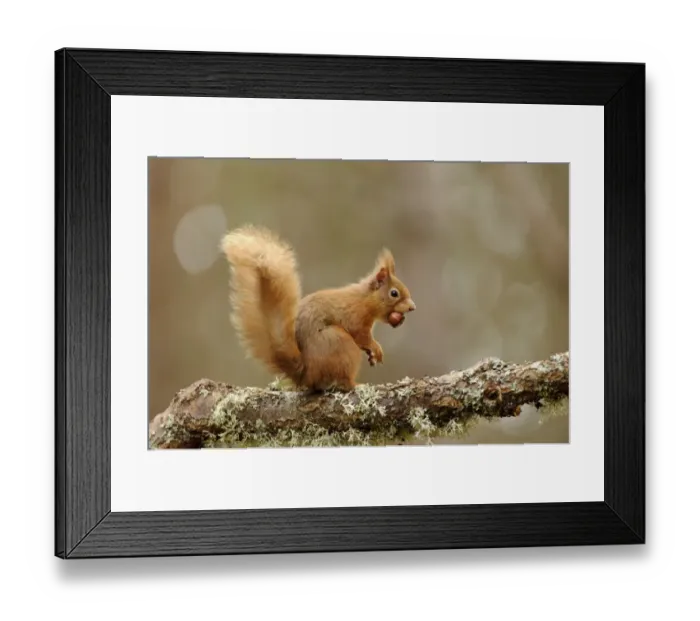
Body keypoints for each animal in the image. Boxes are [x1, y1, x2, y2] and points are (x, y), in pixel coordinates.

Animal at [220, 224, 416, 392]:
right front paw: (375, 348)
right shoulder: (355, 318)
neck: (364, 299)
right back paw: (355, 385)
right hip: (341, 344)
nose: (412, 308)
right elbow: (362, 336)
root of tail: (306, 372)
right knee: (344, 381)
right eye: (394, 293)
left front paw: (373, 354)